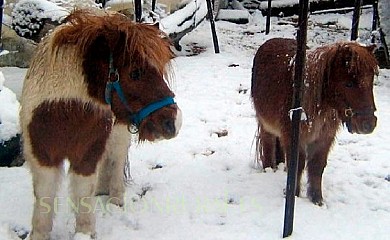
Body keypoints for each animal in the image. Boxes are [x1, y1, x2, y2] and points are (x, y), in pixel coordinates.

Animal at [19, 8, 181, 239]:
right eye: (135, 73)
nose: (173, 123)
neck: (64, 111)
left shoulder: (86, 156)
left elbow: (82, 194)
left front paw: (85, 232)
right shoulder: (42, 157)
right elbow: (44, 200)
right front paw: (40, 234)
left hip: (119, 131)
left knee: (116, 159)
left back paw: (115, 199)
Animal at [251, 38, 380, 205]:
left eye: (371, 80)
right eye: (349, 83)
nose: (368, 124)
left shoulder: (324, 139)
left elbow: (317, 166)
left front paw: (317, 200)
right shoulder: (294, 137)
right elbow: (297, 165)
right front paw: (293, 195)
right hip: (265, 124)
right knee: (268, 145)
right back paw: (269, 169)